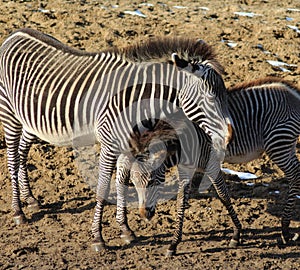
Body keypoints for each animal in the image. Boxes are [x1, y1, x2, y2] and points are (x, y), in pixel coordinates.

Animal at [0, 28, 232, 250]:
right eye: (211, 97)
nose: (228, 135)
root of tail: (15, 33)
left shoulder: (130, 146)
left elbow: (122, 182)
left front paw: (125, 229)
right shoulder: (110, 145)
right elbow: (104, 187)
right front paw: (98, 238)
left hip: (32, 120)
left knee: (22, 151)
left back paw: (30, 199)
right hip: (9, 113)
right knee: (12, 157)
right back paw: (18, 211)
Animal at [115, 76, 300, 255]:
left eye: (152, 181)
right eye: (133, 182)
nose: (144, 214)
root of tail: (293, 93)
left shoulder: (211, 165)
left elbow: (223, 196)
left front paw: (236, 234)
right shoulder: (186, 168)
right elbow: (181, 201)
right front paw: (174, 244)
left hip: (278, 144)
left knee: (294, 175)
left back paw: (285, 230)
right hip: (286, 145)